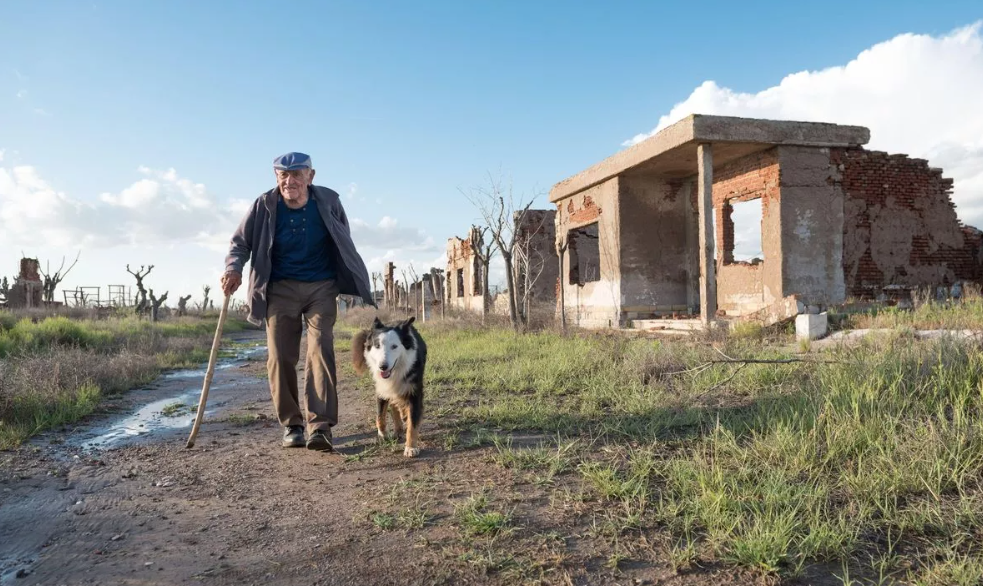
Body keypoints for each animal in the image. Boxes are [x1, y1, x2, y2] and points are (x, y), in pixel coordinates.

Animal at [356, 314, 428, 456]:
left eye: (394, 346)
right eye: (377, 345)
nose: (383, 367)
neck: (396, 371)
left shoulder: (414, 392)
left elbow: (413, 424)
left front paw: (410, 448)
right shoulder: (381, 388)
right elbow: (380, 416)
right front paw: (383, 434)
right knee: (394, 405)